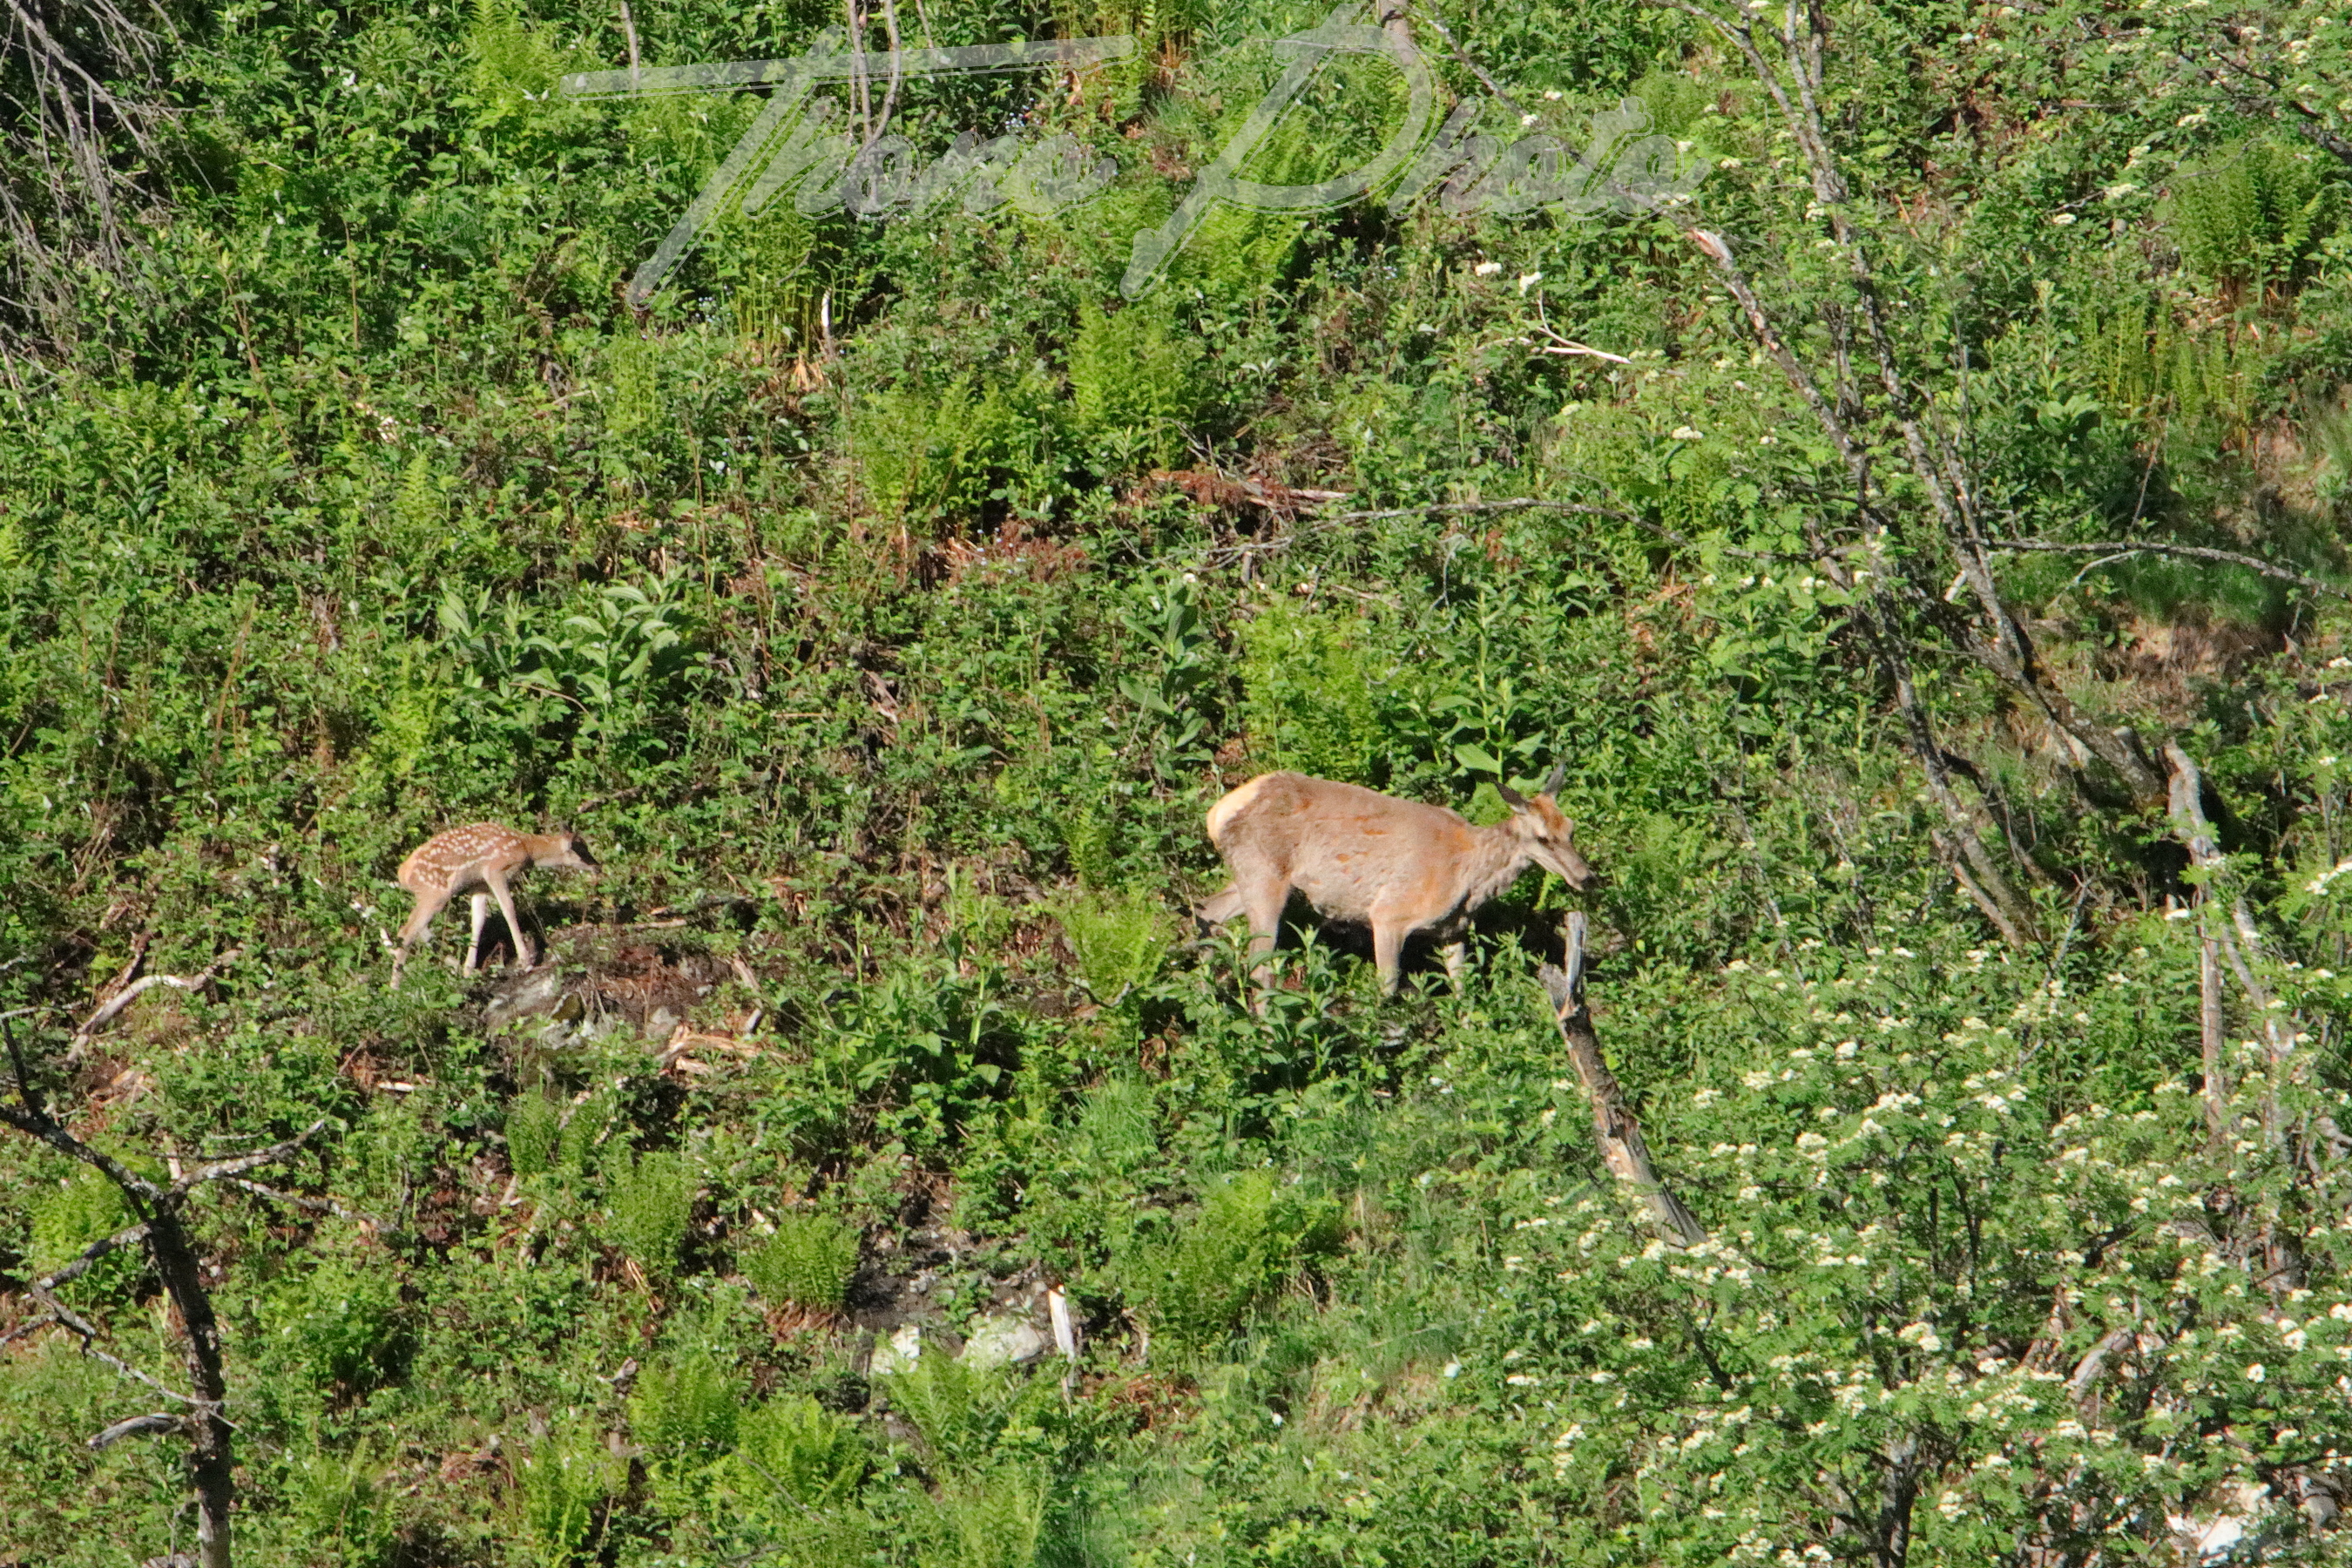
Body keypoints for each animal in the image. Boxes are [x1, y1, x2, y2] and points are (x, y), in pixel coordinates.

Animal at [390, 827, 602, 987]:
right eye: (581, 849)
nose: (598, 866)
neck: (527, 848)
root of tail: (402, 874)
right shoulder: (496, 870)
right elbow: (508, 908)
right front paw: (525, 962)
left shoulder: (479, 885)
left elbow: (478, 921)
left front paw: (469, 969)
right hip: (434, 894)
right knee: (406, 932)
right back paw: (395, 988)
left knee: (416, 931)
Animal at [1194, 766, 1599, 1001]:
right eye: (1543, 838)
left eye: (1571, 828)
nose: (1586, 878)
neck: (1467, 879)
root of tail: (1216, 814)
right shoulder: (1390, 914)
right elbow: (1387, 987)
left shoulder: (1452, 928)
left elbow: (1462, 988)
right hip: (1264, 873)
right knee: (1260, 964)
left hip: (1252, 877)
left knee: (1208, 911)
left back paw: (1205, 998)